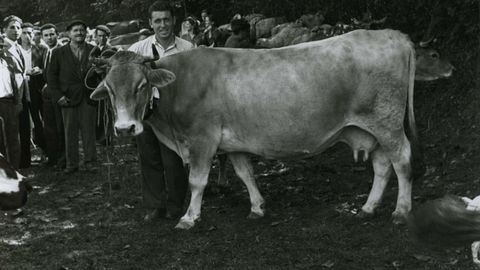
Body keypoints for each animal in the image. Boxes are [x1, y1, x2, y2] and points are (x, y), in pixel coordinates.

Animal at [89, 29, 416, 229]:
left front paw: (189, 217)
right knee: (382, 165)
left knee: (401, 160)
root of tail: (393, 35)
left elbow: (197, 181)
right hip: (372, 129)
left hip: (387, 122)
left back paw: (401, 212)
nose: (125, 128)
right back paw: (369, 207)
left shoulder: (202, 139)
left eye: (142, 85)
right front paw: (258, 207)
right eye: (109, 88)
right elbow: (245, 173)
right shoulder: (233, 142)